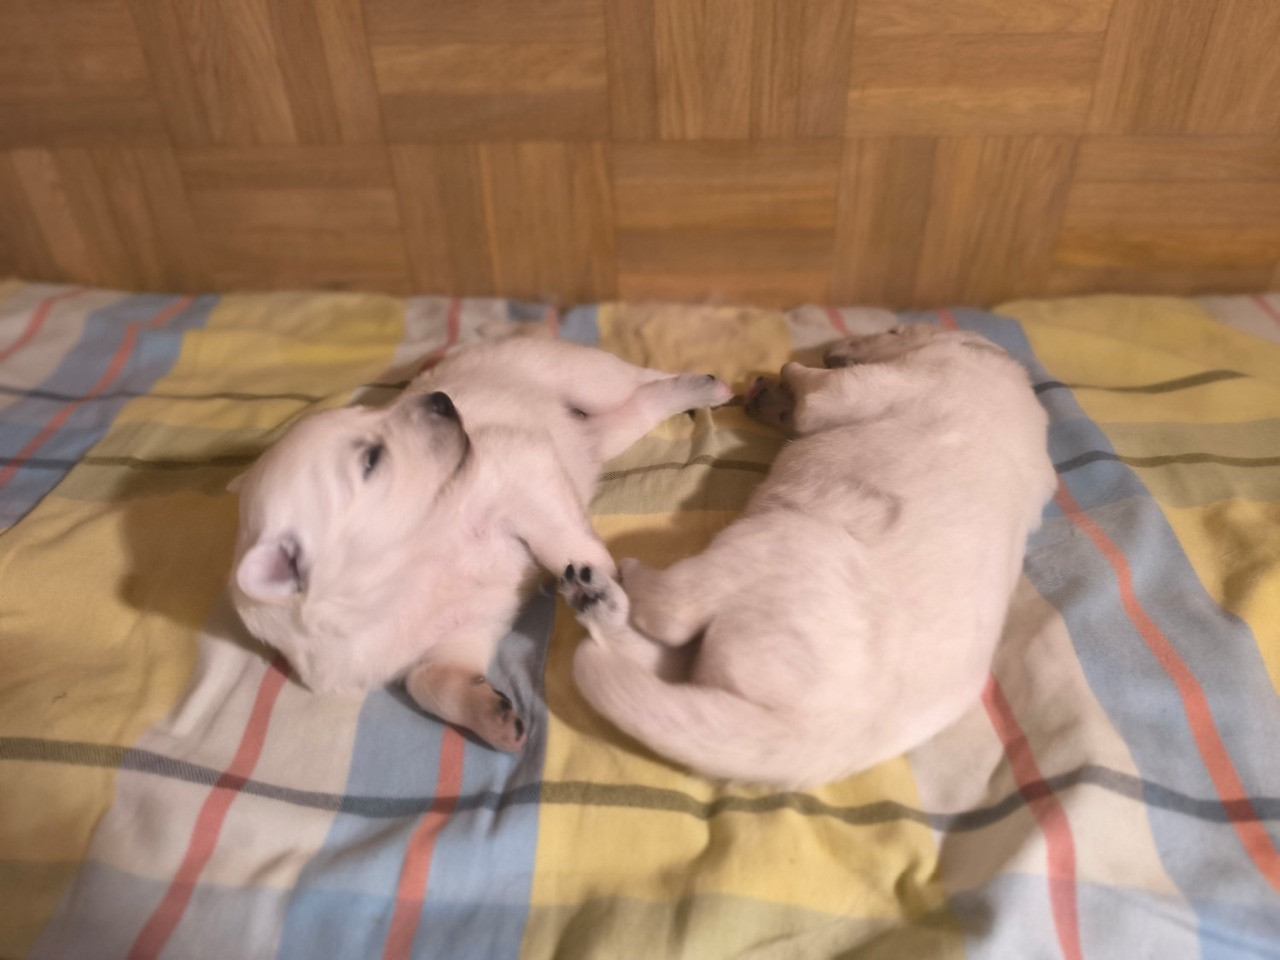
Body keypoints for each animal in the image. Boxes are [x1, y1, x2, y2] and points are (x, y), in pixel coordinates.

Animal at [229, 335, 731, 752]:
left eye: (367, 413)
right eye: (372, 460)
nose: (442, 400)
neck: (408, 565)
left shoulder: (513, 464)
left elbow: (560, 536)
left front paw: (598, 577)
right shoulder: (452, 635)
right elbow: (428, 682)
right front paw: (493, 717)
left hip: (578, 374)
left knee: (637, 377)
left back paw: (708, 386)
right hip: (602, 435)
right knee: (634, 410)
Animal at [559, 324, 1056, 787]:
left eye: (892, 329)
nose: (831, 349)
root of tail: (814, 739)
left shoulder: (871, 384)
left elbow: (815, 392)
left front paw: (788, 374)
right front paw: (771, 394)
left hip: (772, 537)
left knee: (669, 617)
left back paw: (623, 578)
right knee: (664, 661)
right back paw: (597, 599)